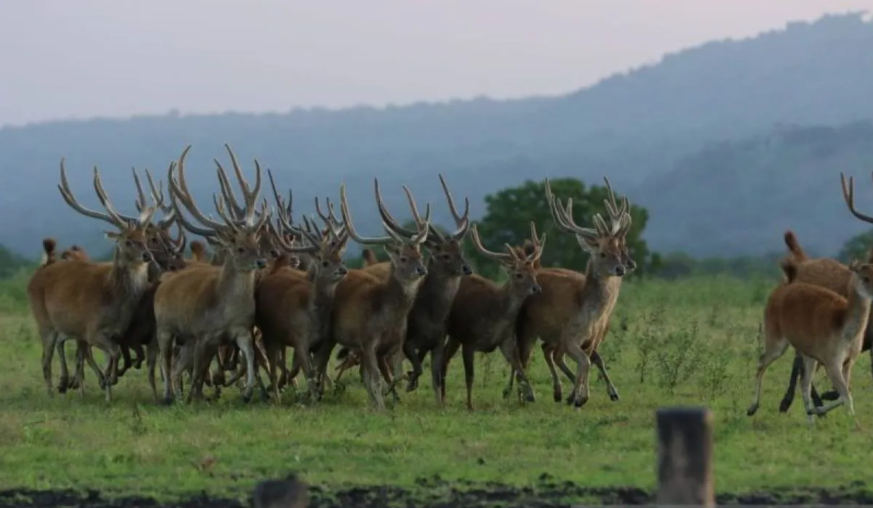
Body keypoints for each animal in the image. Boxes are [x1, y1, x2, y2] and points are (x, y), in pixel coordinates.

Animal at [26, 159, 160, 400]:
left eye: (145, 238)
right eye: (127, 240)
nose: (147, 255)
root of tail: (40, 271)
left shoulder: (116, 334)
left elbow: (113, 356)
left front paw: (108, 389)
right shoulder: (91, 330)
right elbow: (112, 354)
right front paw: (108, 379)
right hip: (44, 322)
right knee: (45, 358)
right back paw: (51, 393)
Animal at [152, 144, 270, 404]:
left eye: (256, 242)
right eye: (239, 248)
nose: (261, 261)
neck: (225, 311)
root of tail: (164, 282)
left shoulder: (242, 329)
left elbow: (250, 356)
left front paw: (247, 391)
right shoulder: (203, 332)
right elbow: (198, 371)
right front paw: (195, 398)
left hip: (186, 338)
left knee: (177, 366)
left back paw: (178, 394)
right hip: (164, 327)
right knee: (166, 360)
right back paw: (168, 395)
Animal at [442, 222, 544, 408]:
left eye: (533, 273)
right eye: (518, 274)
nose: (537, 288)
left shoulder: (506, 340)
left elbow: (519, 366)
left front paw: (529, 395)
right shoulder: (469, 339)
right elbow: (470, 375)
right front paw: (470, 405)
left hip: (455, 336)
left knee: (445, 355)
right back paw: (442, 396)